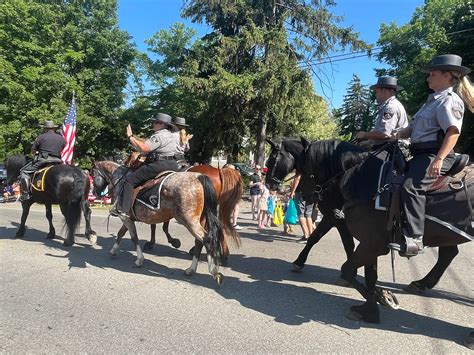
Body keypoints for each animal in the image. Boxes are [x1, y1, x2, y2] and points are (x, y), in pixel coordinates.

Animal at [93, 161, 228, 286]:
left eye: (92, 173)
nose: (95, 192)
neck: (121, 182)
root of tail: (198, 177)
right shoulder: (128, 218)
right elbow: (121, 233)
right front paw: (113, 250)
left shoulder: (125, 217)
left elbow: (133, 237)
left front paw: (139, 260)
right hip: (200, 220)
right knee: (199, 242)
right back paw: (191, 269)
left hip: (189, 221)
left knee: (207, 240)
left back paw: (214, 271)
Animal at [276, 139, 472, 326]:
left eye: (303, 167)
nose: (301, 194)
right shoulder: (366, 239)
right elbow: (368, 273)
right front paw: (375, 301)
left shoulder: (368, 240)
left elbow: (347, 266)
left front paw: (376, 303)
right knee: (448, 254)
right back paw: (421, 283)